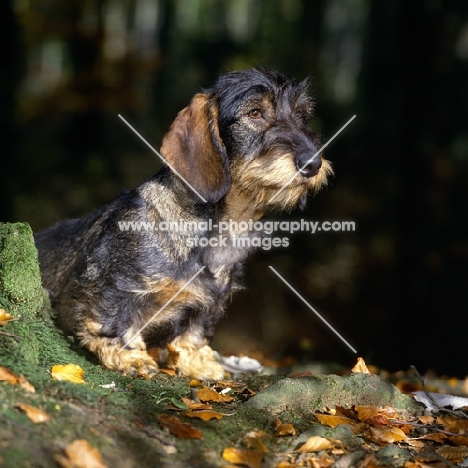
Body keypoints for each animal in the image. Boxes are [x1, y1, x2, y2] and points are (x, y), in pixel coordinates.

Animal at [35, 66, 332, 380]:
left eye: (301, 115)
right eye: (255, 113)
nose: (313, 164)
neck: (218, 229)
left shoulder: (207, 304)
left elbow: (193, 333)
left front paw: (199, 363)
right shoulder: (110, 287)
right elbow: (112, 320)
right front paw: (130, 357)